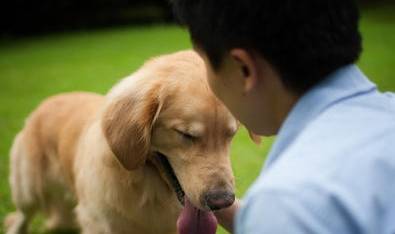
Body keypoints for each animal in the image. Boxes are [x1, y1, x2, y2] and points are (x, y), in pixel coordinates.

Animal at [4, 50, 258, 234]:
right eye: (185, 135)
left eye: (230, 134)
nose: (223, 201)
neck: (145, 187)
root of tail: (47, 102)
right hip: (28, 189)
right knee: (22, 217)